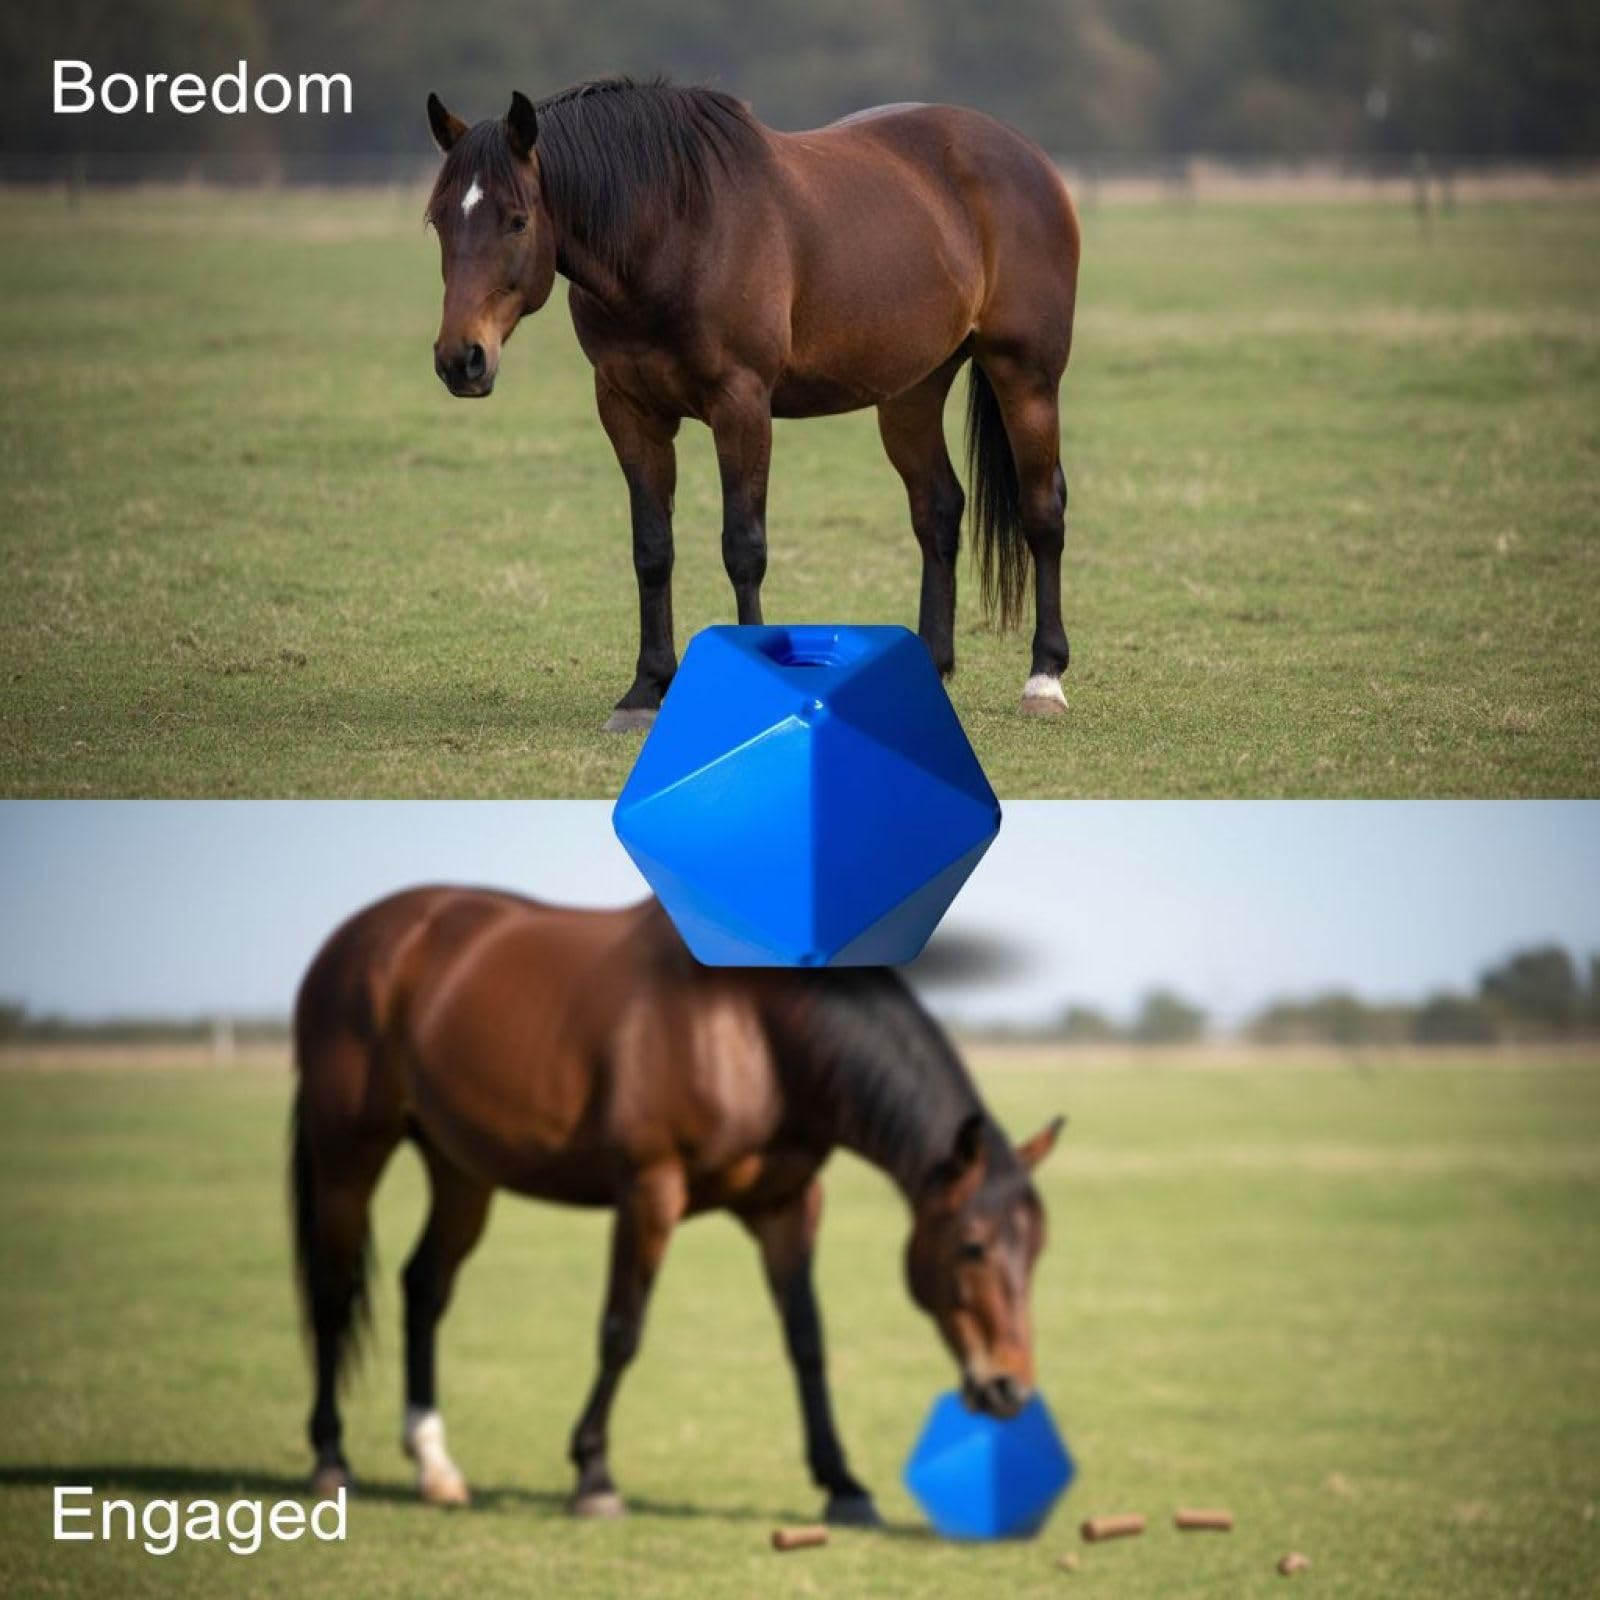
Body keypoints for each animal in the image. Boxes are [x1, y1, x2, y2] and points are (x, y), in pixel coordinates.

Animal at [291, 886, 1063, 1526]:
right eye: (971, 1246)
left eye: (1037, 1254)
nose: (1010, 1391)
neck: (752, 1029)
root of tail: (356, 941)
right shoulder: (648, 1192)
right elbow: (621, 1331)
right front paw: (594, 1476)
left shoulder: (788, 1206)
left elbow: (807, 1341)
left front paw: (843, 1485)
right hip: (350, 1155)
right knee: (332, 1294)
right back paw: (331, 1461)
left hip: (461, 1171)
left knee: (424, 1288)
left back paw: (435, 1465)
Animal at [423, 78, 1081, 731]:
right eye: (437, 221)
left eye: (516, 221)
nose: (462, 359)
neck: (673, 234)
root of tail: (1028, 157)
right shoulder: (628, 411)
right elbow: (652, 549)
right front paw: (645, 690)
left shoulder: (741, 405)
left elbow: (743, 547)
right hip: (911, 390)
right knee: (938, 510)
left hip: (1025, 375)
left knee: (1042, 511)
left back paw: (1044, 679)